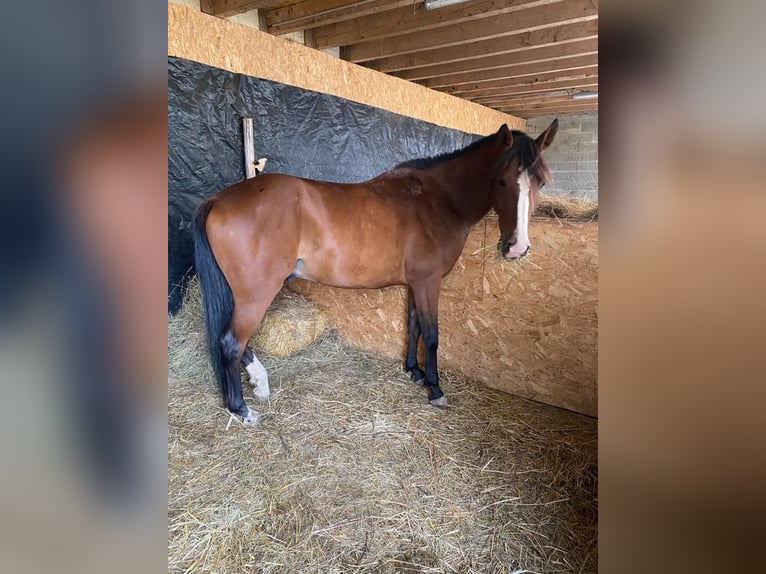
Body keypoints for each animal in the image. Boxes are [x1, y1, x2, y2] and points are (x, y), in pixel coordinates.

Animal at [194, 120, 560, 428]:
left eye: (541, 182)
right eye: (502, 180)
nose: (517, 247)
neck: (437, 200)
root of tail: (218, 199)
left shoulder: (416, 283)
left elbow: (413, 325)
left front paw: (414, 371)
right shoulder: (428, 282)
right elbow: (432, 334)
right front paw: (435, 389)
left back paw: (258, 385)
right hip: (257, 294)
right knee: (231, 343)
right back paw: (243, 409)